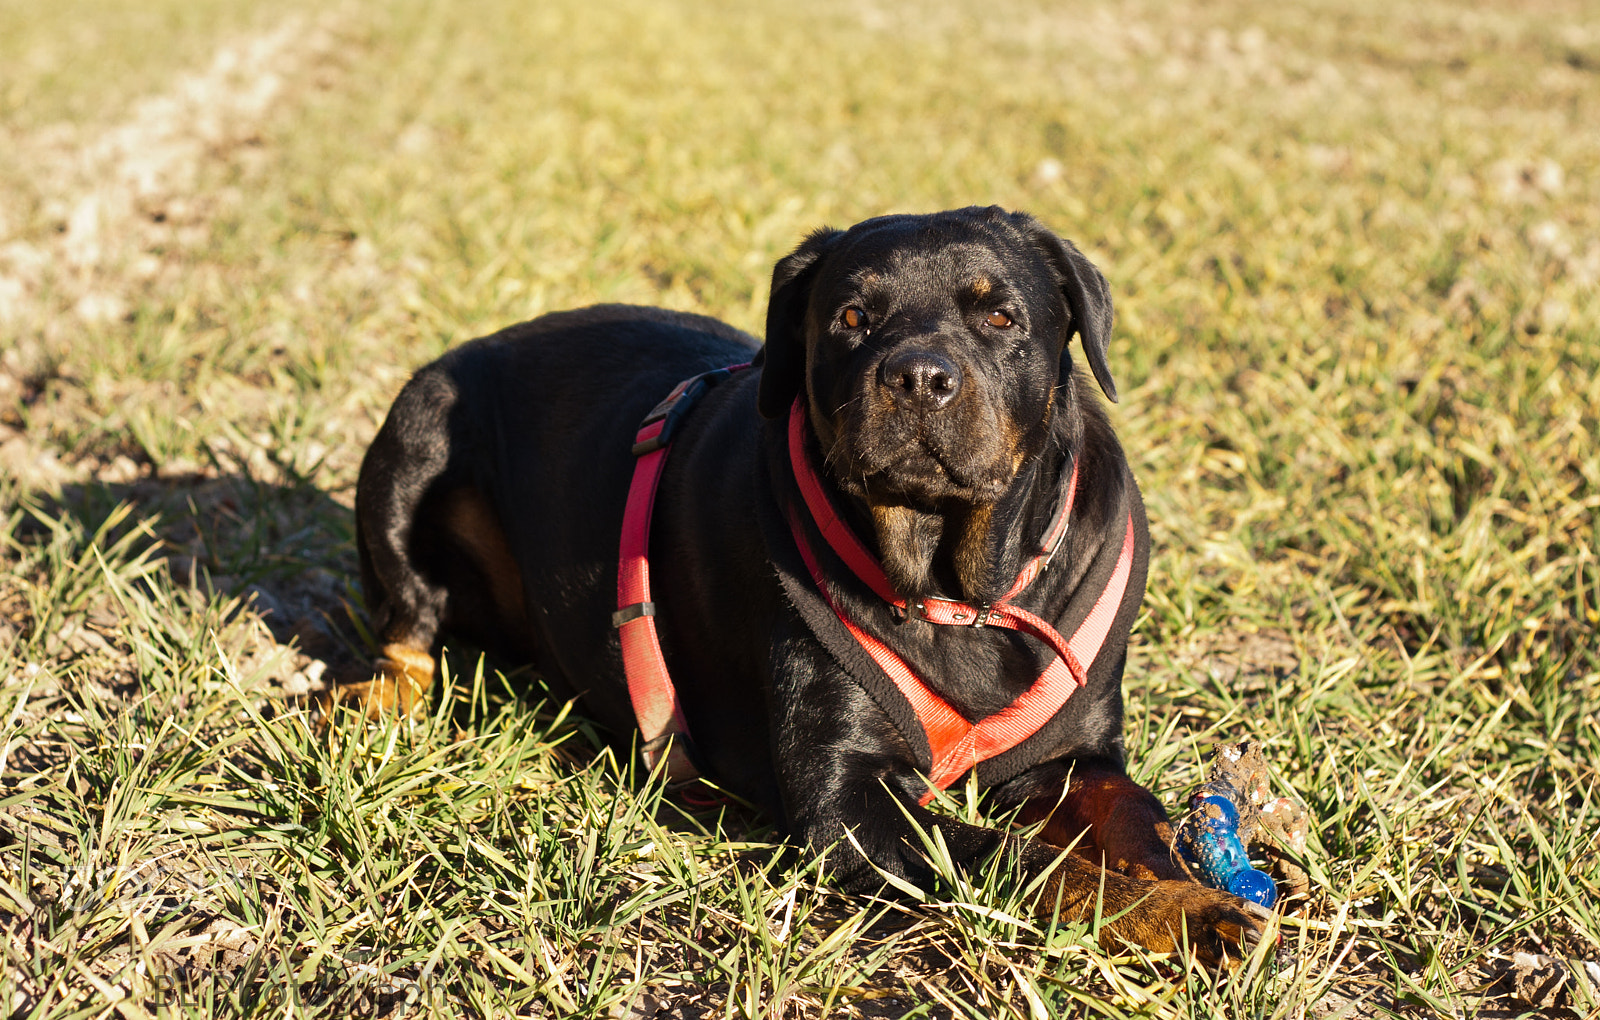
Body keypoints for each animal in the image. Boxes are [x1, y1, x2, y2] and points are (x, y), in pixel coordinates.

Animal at [347, 206, 1260, 959]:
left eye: (1001, 316)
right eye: (851, 318)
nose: (919, 375)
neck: (958, 593)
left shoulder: (1074, 751)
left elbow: (1139, 818)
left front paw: (1192, 891)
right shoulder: (845, 800)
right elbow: (1023, 860)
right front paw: (1179, 913)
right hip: (415, 436)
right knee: (406, 624)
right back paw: (377, 703)